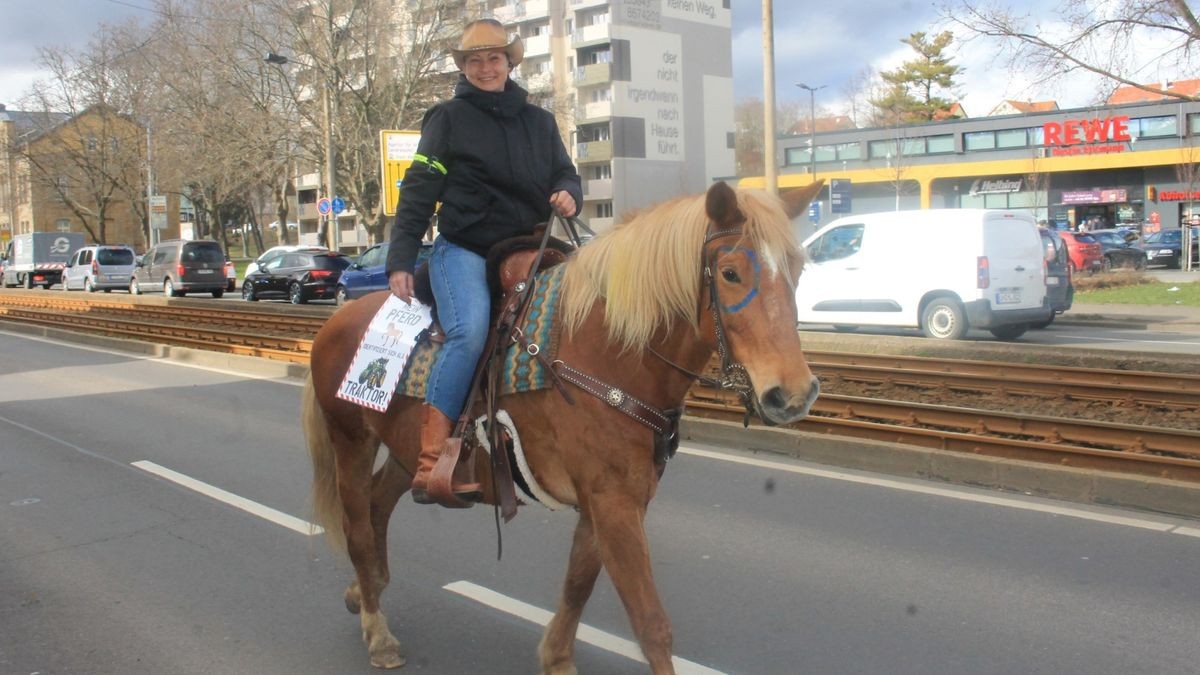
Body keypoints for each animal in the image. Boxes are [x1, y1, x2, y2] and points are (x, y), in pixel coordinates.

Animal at [304, 178, 825, 667]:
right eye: (731, 273)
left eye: (797, 270)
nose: (793, 393)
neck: (609, 352)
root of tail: (334, 321)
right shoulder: (613, 504)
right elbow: (651, 624)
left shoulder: (611, 503)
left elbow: (578, 583)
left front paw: (555, 657)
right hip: (351, 441)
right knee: (357, 528)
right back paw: (378, 632)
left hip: (404, 450)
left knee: (377, 508)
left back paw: (365, 590)